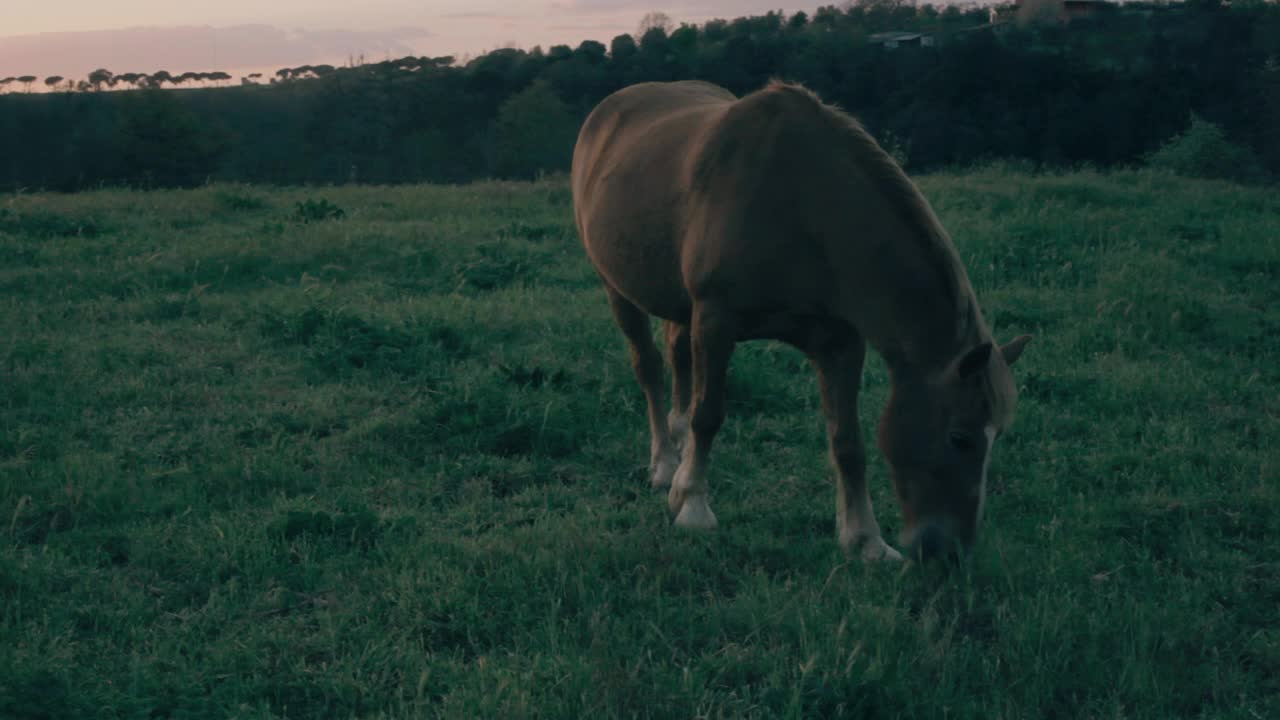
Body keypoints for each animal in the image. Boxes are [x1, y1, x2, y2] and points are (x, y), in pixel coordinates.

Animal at [570, 79, 1029, 561]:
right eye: (960, 437)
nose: (952, 549)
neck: (803, 208)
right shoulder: (716, 319)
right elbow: (708, 414)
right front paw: (692, 504)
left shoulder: (840, 343)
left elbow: (848, 441)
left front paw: (865, 539)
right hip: (617, 288)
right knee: (650, 368)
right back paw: (663, 464)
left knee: (678, 358)